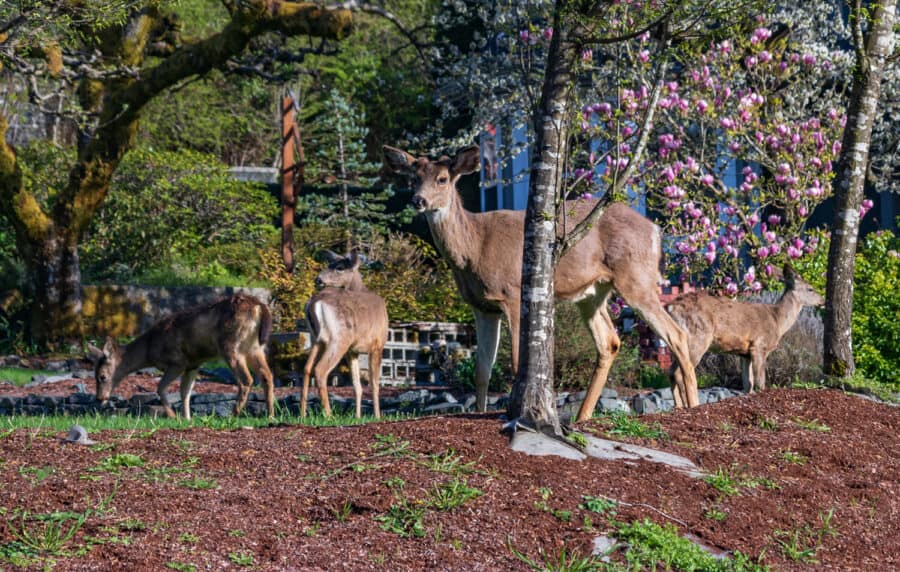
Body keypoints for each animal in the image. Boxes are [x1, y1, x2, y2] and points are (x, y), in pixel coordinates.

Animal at [91, 294, 276, 420]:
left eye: (102, 376)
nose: (99, 398)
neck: (149, 349)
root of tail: (259, 307)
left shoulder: (177, 361)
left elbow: (161, 387)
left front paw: (173, 416)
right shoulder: (193, 364)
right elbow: (185, 392)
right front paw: (187, 418)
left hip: (230, 345)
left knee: (246, 379)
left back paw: (234, 414)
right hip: (255, 347)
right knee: (267, 375)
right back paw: (270, 414)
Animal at [300, 252, 388, 418]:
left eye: (340, 267)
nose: (318, 279)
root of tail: (314, 302)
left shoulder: (352, 351)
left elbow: (357, 385)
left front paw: (358, 416)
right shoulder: (377, 345)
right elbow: (374, 384)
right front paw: (377, 416)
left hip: (316, 339)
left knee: (307, 368)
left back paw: (303, 414)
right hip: (339, 338)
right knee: (320, 370)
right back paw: (329, 415)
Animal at [384, 143, 700, 420]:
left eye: (442, 179)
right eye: (413, 178)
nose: (418, 200)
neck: (473, 248)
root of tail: (655, 230)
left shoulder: (512, 294)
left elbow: (515, 362)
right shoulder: (483, 306)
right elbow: (482, 369)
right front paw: (481, 412)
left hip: (636, 277)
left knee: (676, 334)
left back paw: (693, 406)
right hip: (593, 293)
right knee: (609, 342)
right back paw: (582, 417)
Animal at [664, 262, 828, 398]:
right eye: (810, 289)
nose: (823, 300)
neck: (777, 320)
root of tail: (670, 307)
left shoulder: (745, 353)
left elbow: (747, 384)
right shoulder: (759, 346)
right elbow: (760, 383)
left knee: (671, 372)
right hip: (697, 337)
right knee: (681, 373)